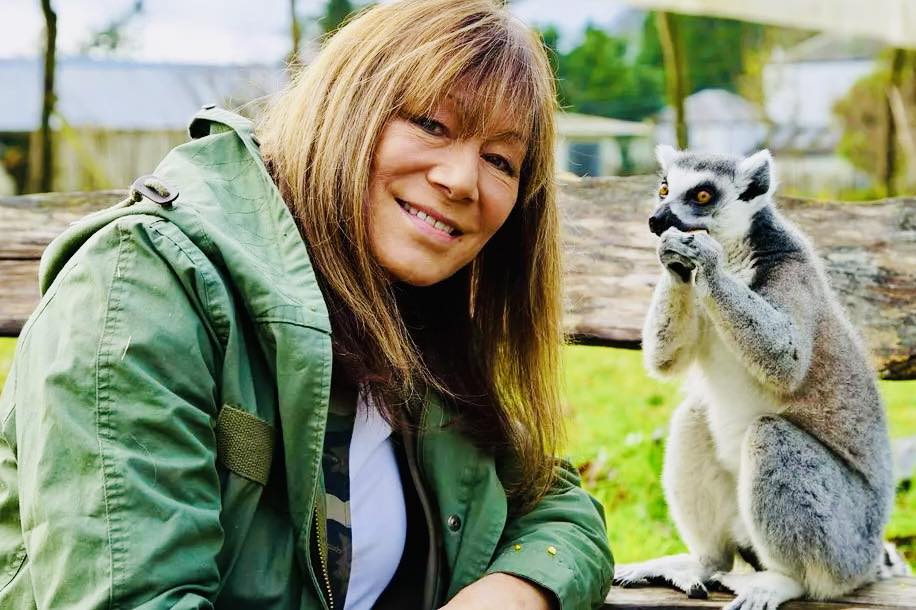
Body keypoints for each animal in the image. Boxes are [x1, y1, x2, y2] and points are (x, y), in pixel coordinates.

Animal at [613, 146, 901, 610]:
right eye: (663, 189)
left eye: (703, 194)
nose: (657, 220)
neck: (734, 255)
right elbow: (665, 360)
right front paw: (673, 261)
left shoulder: (791, 269)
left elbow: (786, 357)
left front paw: (703, 260)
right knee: (695, 415)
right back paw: (703, 563)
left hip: (845, 542)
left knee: (772, 437)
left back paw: (783, 581)